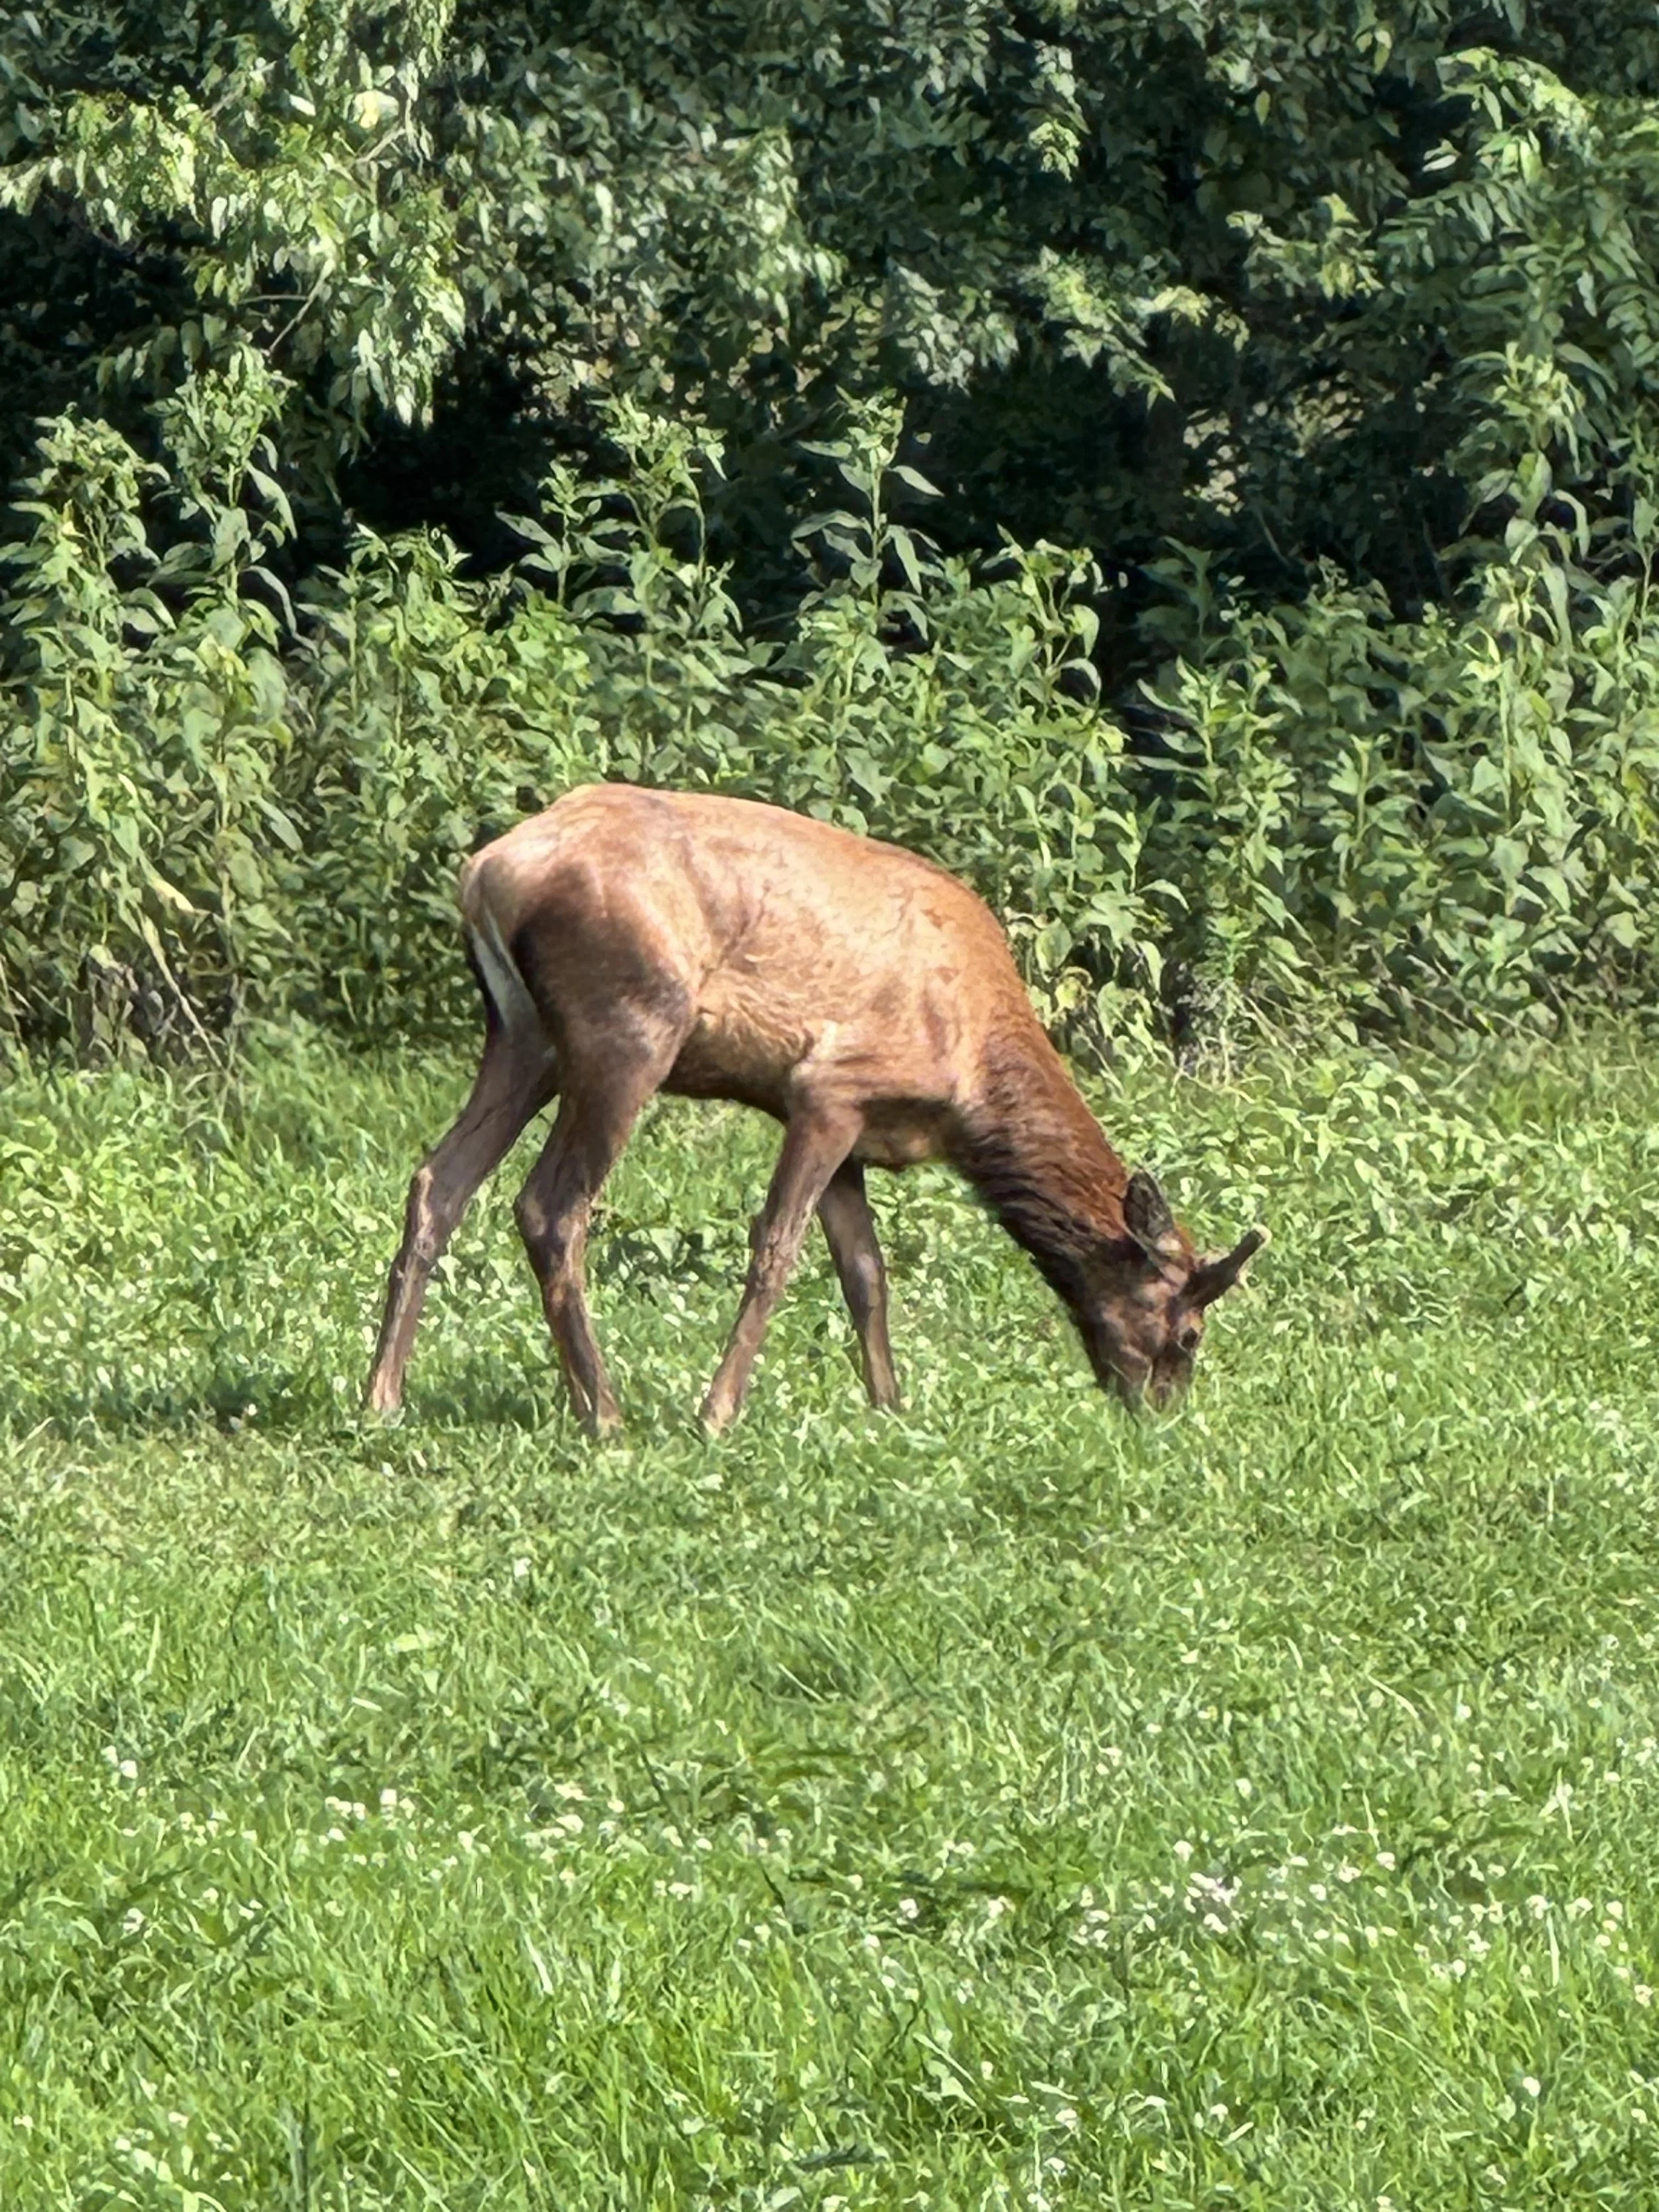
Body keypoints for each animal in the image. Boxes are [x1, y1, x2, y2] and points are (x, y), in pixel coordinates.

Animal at [366, 783, 1265, 1436]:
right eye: (1187, 1331)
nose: (1161, 1415)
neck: (972, 1083)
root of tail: (486, 871)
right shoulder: (826, 1090)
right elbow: (776, 1250)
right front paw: (717, 1413)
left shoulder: (857, 1132)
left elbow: (866, 1273)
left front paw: (889, 1405)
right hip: (625, 1027)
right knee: (551, 1207)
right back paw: (604, 1413)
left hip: (523, 1037)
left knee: (437, 1182)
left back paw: (383, 1394)